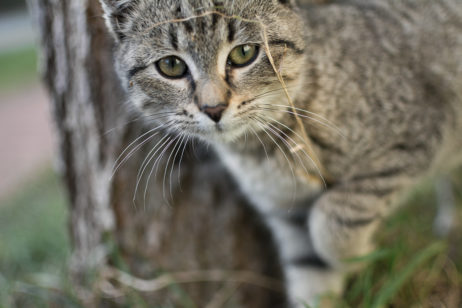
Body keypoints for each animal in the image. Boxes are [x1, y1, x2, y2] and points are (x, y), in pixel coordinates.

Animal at [100, 0, 462, 306]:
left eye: (244, 53)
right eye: (171, 65)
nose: (213, 108)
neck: (260, 151)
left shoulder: (415, 138)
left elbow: (333, 219)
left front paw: (361, 254)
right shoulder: (288, 214)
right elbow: (311, 274)